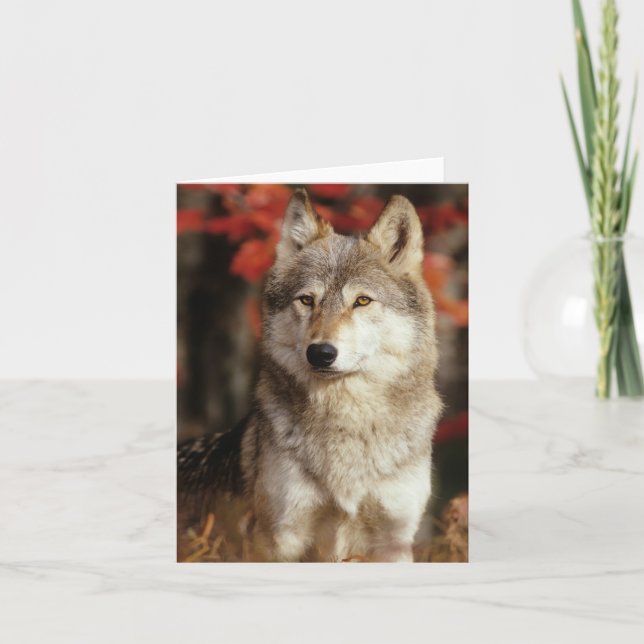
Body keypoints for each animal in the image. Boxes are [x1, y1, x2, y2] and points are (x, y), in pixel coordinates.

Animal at [178, 189, 442, 562]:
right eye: (307, 300)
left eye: (362, 301)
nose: (320, 353)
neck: (347, 426)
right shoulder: (280, 538)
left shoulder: (394, 539)